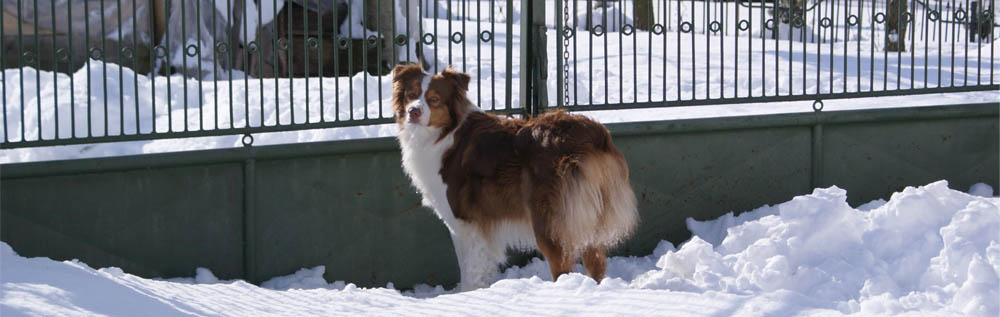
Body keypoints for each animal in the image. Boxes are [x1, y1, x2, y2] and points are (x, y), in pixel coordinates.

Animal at [392, 64, 636, 292]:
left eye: (434, 99)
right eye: (411, 95)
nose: (413, 111)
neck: (444, 133)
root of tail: (594, 135)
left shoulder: (465, 223)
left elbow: (470, 270)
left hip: (550, 222)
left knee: (563, 268)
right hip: (588, 216)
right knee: (595, 264)